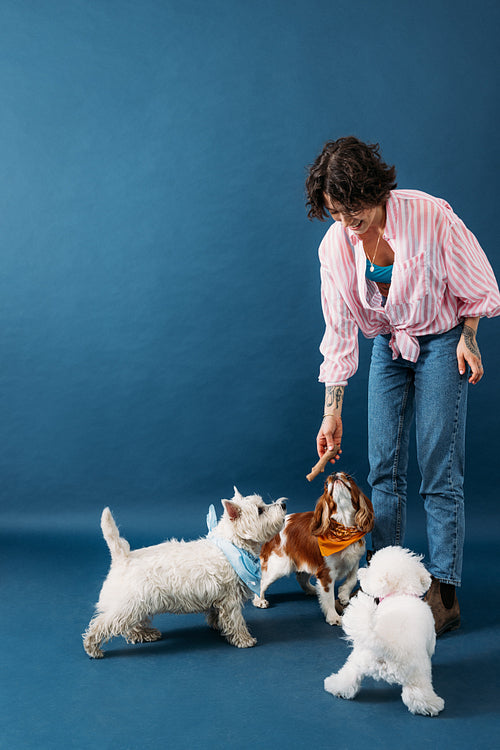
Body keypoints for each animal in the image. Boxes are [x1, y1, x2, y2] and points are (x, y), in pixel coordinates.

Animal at [82, 488, 286, 656]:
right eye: (260, 510)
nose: (283, 504)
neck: (231, 545)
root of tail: (123, 557)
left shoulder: (219, 598)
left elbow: (217, 614)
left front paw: (217, 625)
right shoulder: (231, 600)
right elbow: (236, 621)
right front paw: (244, 639)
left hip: (137, 605)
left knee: (131, 626)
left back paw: (145, 633)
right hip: (127, 605)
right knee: (103, 624)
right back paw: (92, 647)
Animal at [324, 548, 446, 716]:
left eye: (370, 568)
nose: (361, 572)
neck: (399, 594)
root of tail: (383, 644)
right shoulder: (430, 641)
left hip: (357, 660)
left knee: (348, 677)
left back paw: (335, 687)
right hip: (417, 674)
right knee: (418, 696)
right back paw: (433, 705)